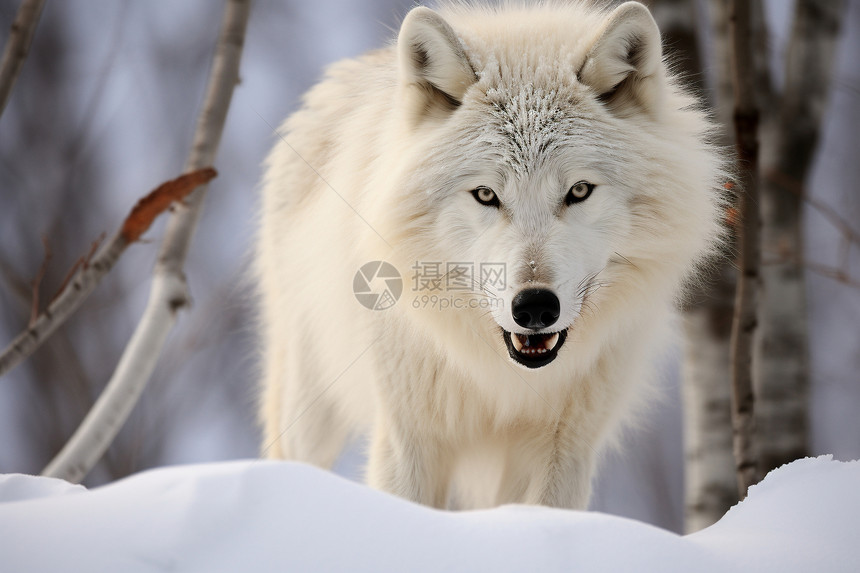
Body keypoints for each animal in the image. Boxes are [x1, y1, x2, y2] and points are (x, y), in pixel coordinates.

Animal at [256, 1, 724, 510]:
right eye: (485, 195)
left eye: (579, 191)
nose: (535, 307)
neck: (502, 379)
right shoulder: (409, 440)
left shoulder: (564, 449)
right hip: (307, 408)